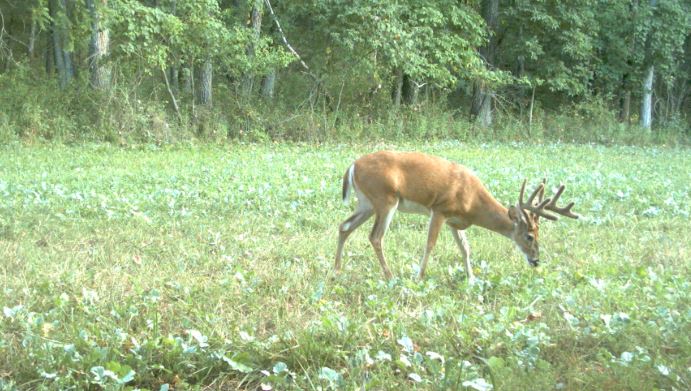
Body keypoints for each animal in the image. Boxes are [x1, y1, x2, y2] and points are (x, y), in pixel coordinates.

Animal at [336, 150, 580, 282]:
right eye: (529, 236)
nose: (536, 260)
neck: (473, 202)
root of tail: (352, 166)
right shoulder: (440, 209)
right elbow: (430, 244)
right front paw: (419, 277)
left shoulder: (455, 221)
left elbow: (465, 249)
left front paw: (471, 279)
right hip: (385, 199)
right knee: (375, 237)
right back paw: (390, 276)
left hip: (366, 203)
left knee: (344, 226)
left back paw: (335, 270)